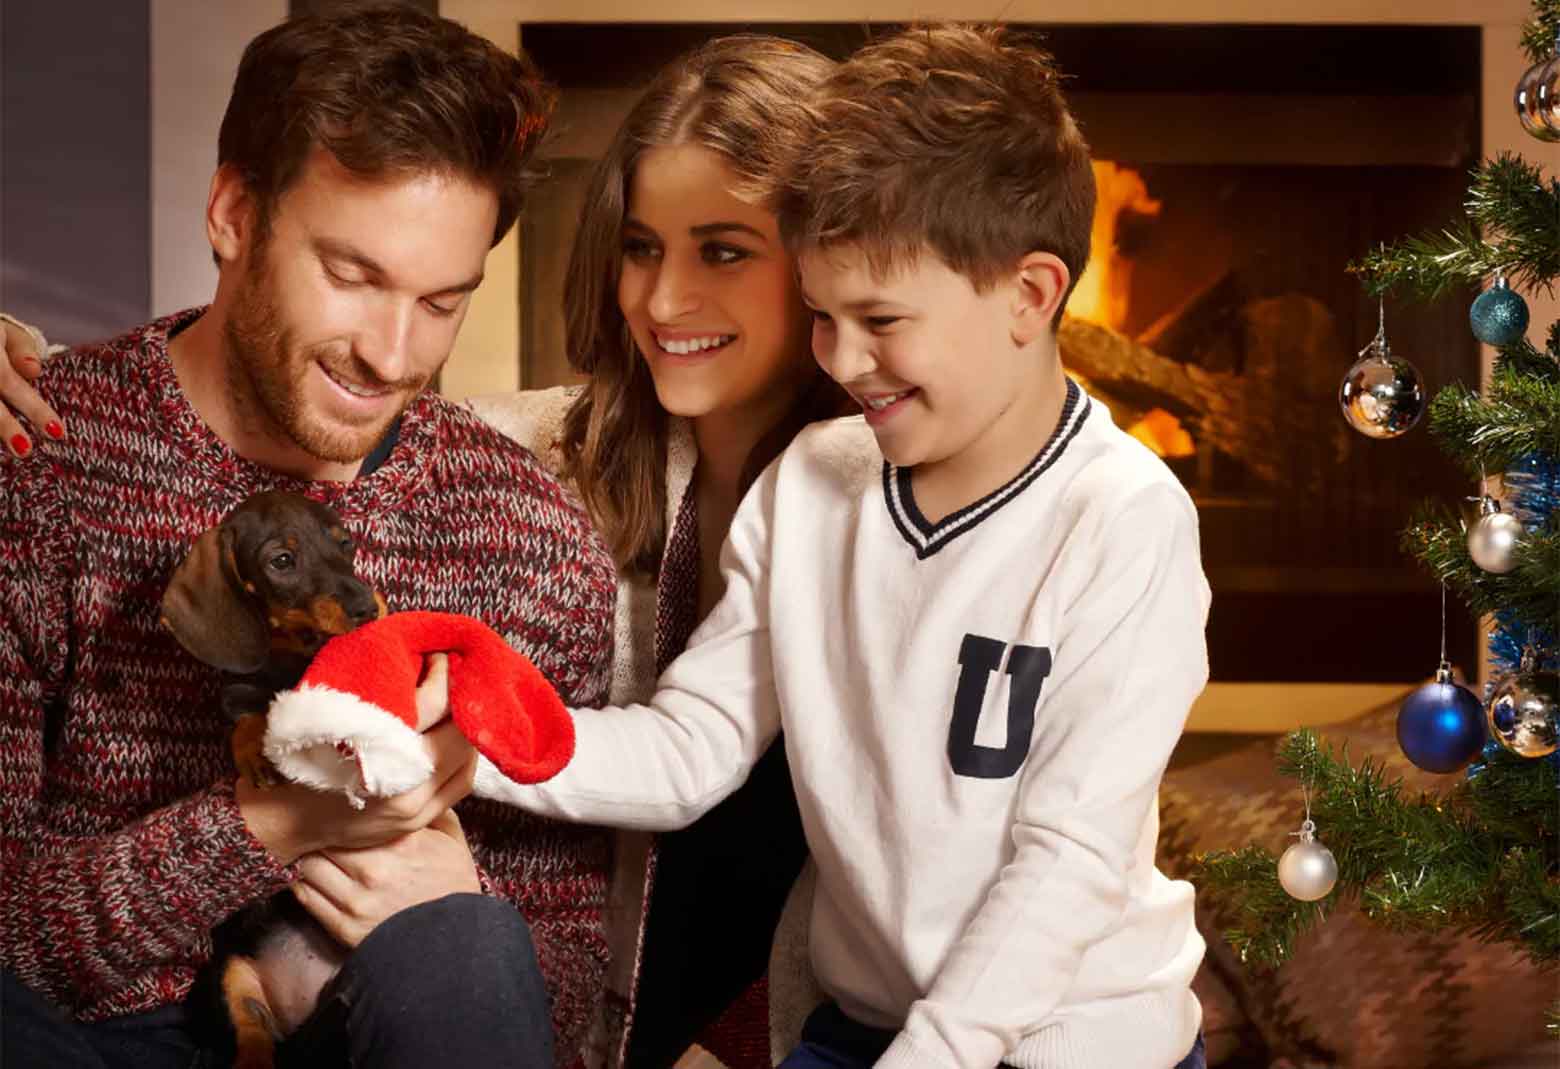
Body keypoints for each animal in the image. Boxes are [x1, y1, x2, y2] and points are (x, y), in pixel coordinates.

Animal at [161, 493, 386, 1067]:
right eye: (281, 561)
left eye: (345, 543)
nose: (368, 608)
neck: (293, 656)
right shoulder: (238, 694)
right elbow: (245, 715)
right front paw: (257, 749)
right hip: (230, 978)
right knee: (250, 1039)